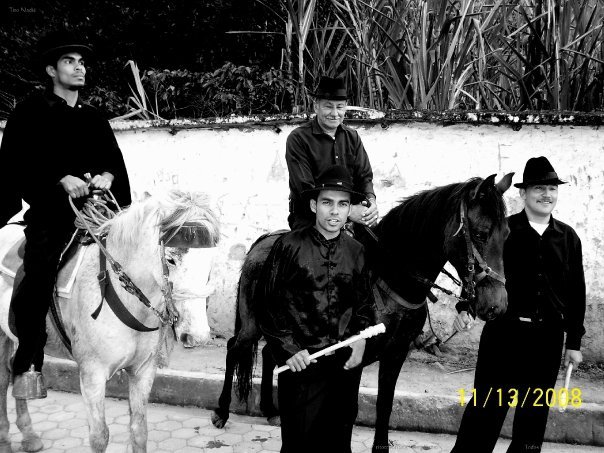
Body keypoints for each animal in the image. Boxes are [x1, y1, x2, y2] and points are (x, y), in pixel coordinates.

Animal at [0, 191, 219, 452]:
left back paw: (29, 434)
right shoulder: (92, 375)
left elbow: (139, 430)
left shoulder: (143, 370)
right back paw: (5, 438)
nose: (198, 336)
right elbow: (100, 436)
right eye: (172, 260)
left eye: (210, 262)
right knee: (2, 378)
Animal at [210, 172, 512, 448]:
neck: (391, 278)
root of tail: (263, 242)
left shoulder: (395, 354)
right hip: (252, 323)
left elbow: (384, 406)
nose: (496, 305)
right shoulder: (352, 358)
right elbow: (346, 411)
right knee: (235, 347)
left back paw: (271, 410)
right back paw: (222, 411)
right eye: (480, 233)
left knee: (270, 353)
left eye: (506, 234)